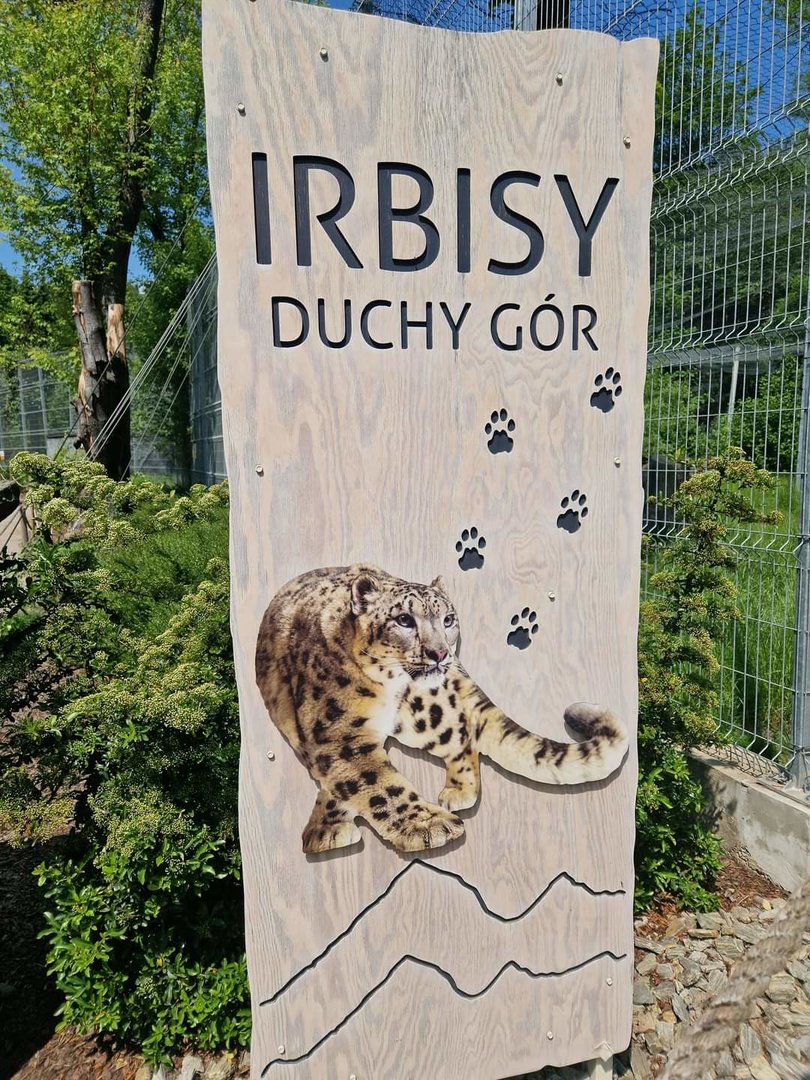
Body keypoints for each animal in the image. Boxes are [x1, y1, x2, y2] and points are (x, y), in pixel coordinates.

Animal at [255, 564, 628, 854]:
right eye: (404, 619)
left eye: (448, 619)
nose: (440, 653)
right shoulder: (338, 733)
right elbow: (374, 782)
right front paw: (426, 825)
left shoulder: (342, 738)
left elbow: (373, 782)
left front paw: (429, 825)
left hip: (423, 712)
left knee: (461, 733)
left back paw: (458, 793)